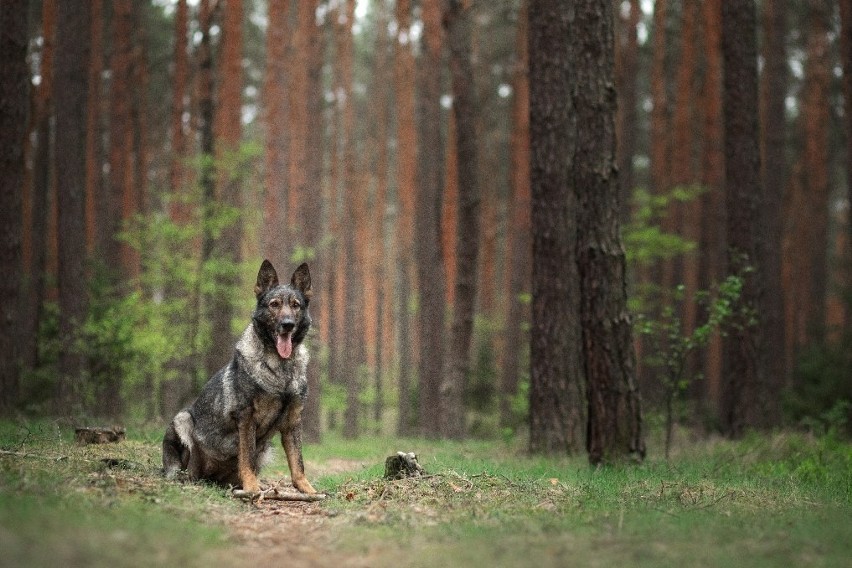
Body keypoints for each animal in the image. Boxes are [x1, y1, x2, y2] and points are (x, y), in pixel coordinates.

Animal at [161, 260, 316, 494]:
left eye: (296, 305)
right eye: (274, 305)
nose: (287, 324)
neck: (281, 367)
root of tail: (210, 477)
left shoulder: (292, 422)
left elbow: (298, 462)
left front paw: (308, 490)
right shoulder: (246, 417)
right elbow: (247, 457)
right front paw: (251, 487)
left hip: (265, 450)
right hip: (183, 419)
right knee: (184, 468)